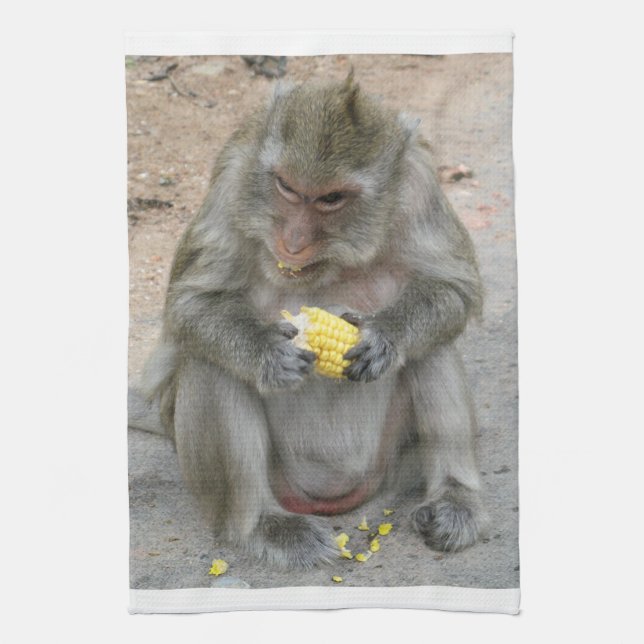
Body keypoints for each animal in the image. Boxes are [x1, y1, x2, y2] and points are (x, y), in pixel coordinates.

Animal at [131, 73, 487, 569]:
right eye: (286, 187)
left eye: (331, 199)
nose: (294, 241)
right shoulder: (233, 176)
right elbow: (190, 304)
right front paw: (266, 352)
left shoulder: (419, 185)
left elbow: (453, 287)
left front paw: (385, 338)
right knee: (210, 364)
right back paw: (262, 524)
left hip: (391, 465)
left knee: (432, 350)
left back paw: (455, 499)